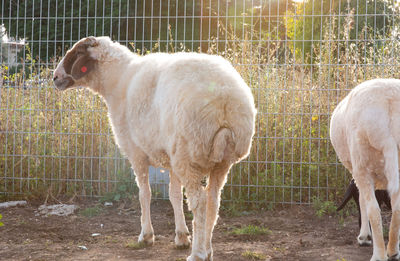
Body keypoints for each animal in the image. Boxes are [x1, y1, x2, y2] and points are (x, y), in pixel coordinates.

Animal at [52, 35, 256, 258]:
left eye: (77, 53)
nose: (55, 77)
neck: (119, 81)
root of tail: (225, 102)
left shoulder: (136, 153)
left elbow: (144, 194)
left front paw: (146, 236)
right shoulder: (171, 157)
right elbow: (174, 196)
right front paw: (181, 236)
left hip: (189, 154)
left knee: (199, 202)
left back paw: (197, 253)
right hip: (217, 161)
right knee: (213, 200)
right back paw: (208, 249)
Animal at [330, 78, 400, 260]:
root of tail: (388, 99)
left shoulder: (359, 172)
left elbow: (363, 201)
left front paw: (364, 236)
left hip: (361, 163)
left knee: (373, 210)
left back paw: (379, 254)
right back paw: (393, 250)